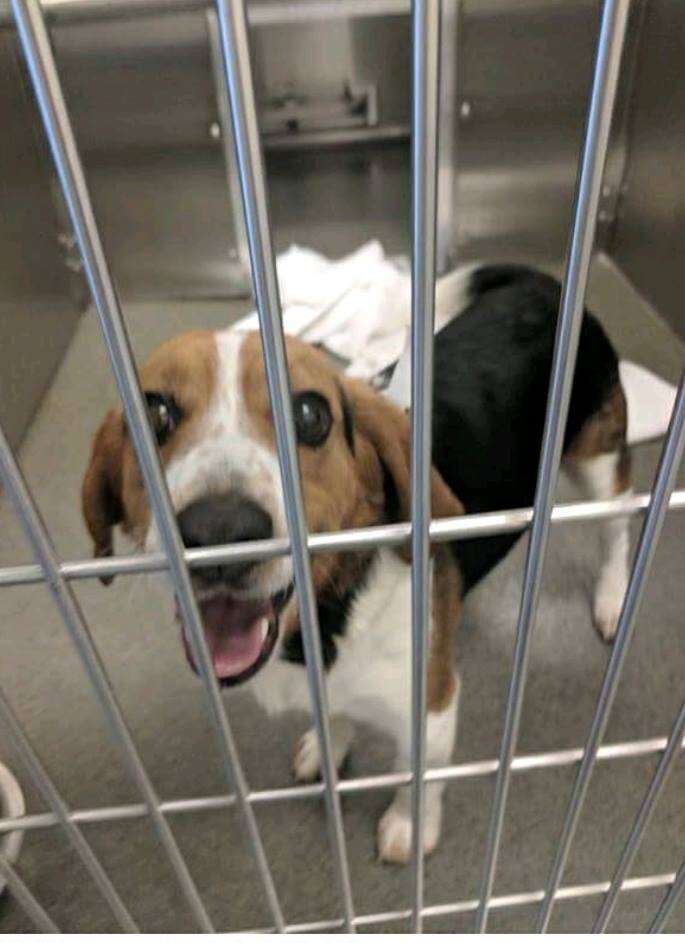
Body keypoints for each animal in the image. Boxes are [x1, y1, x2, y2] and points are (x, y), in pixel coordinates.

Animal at [81, 266, 632, 864]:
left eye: (309, 414)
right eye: (154, 412)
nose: (219, 531)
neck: (326, 621)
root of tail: (545, 286)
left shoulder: (432, 706)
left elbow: (419, 778)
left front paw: (409, 827)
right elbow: (336, 719)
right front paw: (328, 750)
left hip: (599, 459)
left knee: (618, 529)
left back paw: (613, 597)